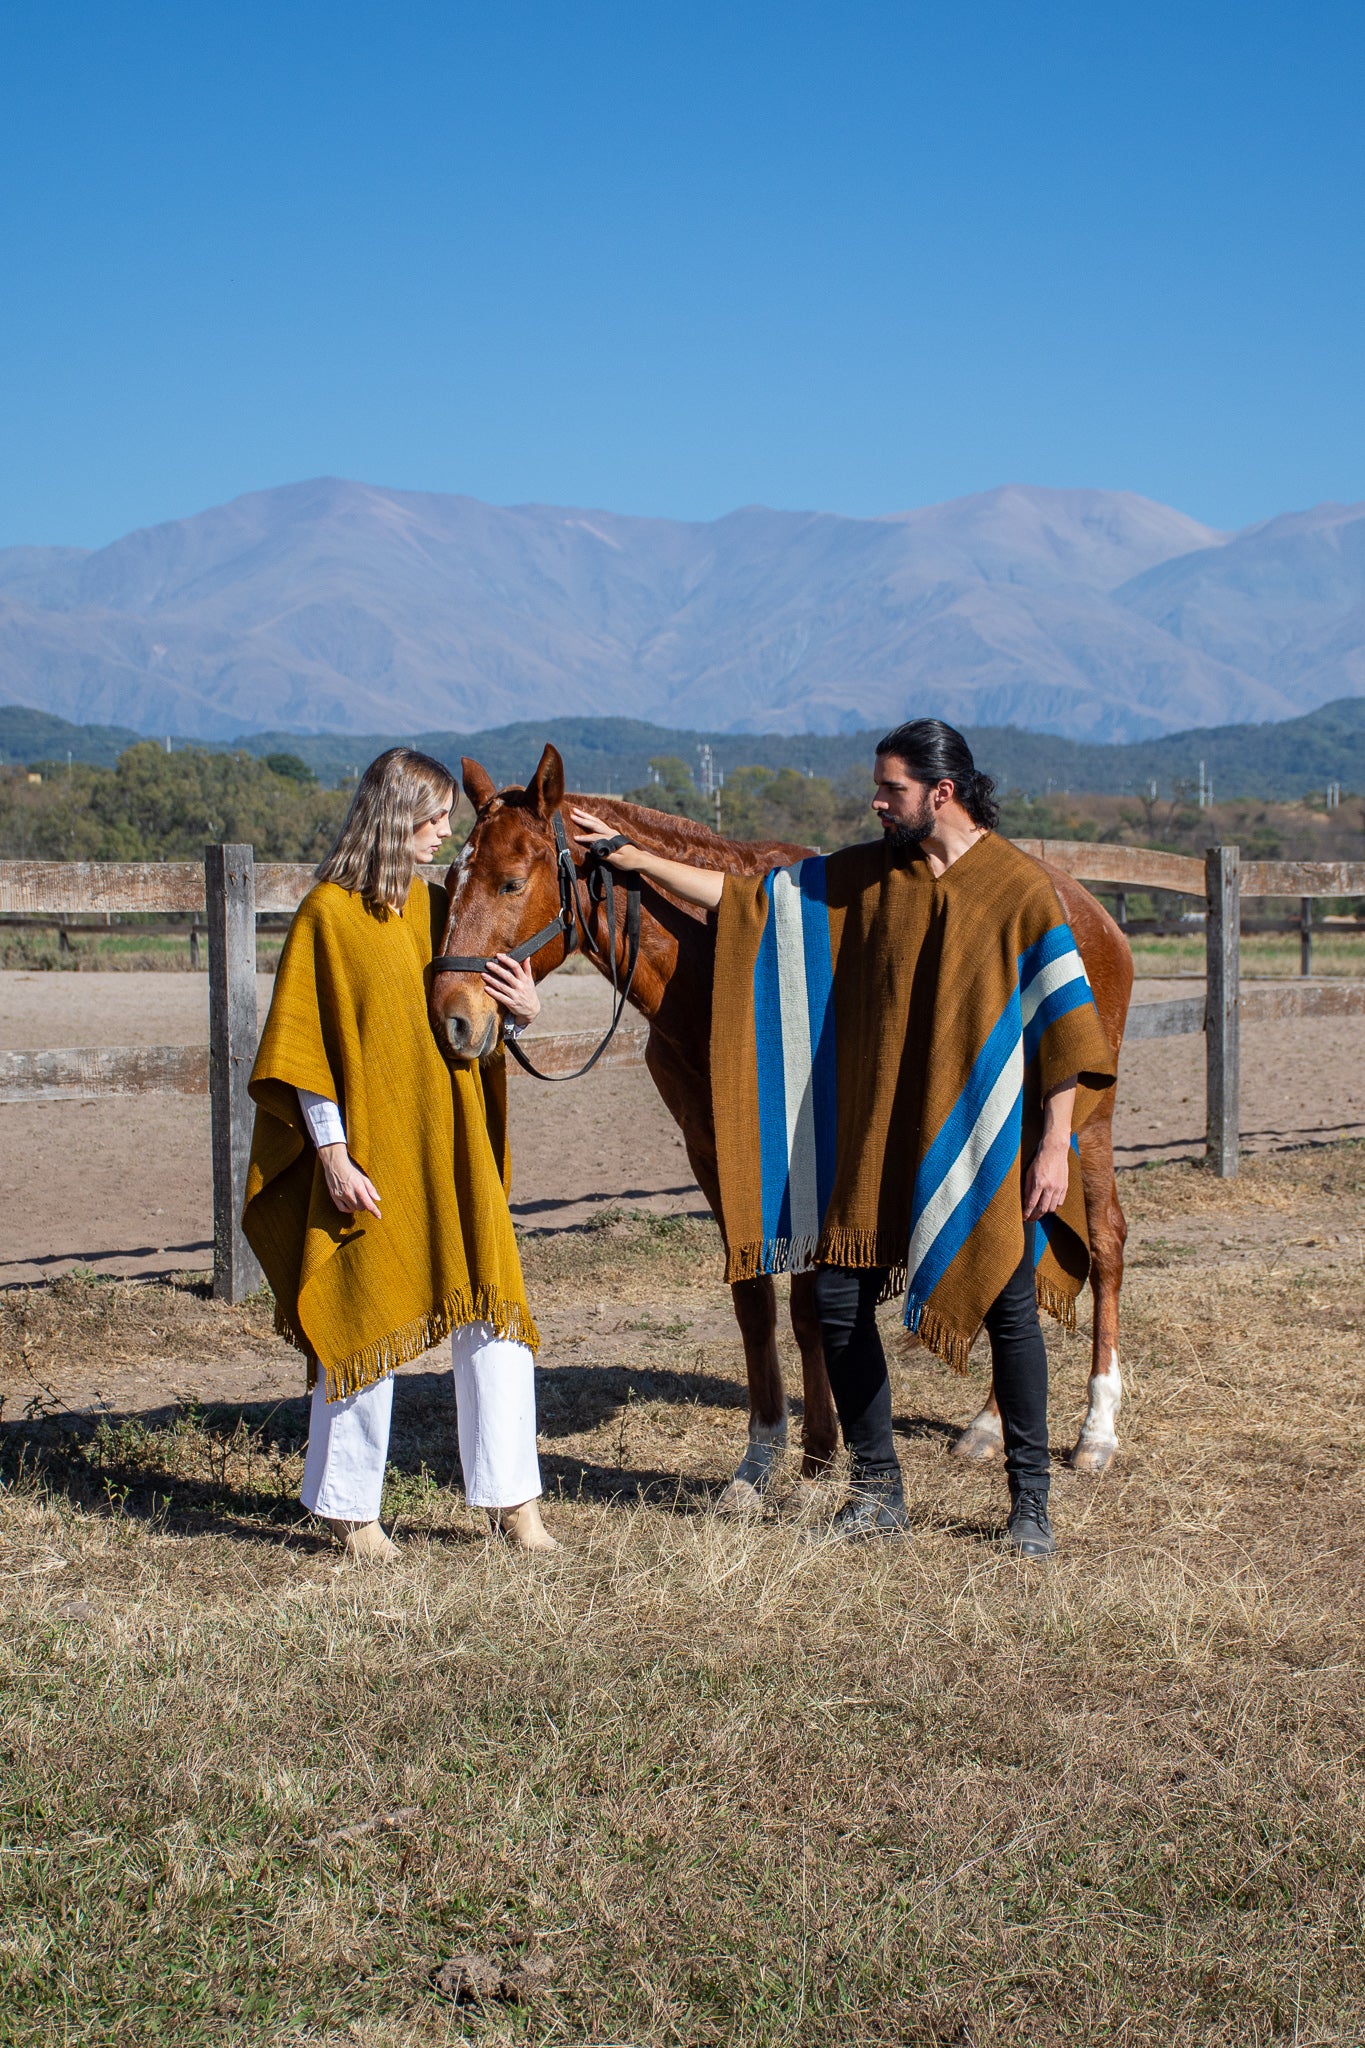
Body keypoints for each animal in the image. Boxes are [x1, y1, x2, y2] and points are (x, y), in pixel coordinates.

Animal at [435, 745, 1129, 1499]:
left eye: (510, 882)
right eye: (448, 877)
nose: (452, 1018)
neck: (714, 964)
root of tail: (1088, 909)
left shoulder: (814, 1159)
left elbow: (804, 1307)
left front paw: (820, 1455)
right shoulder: (712, 1155)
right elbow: (754, 1305)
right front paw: (761, 1455)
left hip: (1082, 1129)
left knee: (1104, 1245)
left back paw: (1096, 1429)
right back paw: (987, 1425)